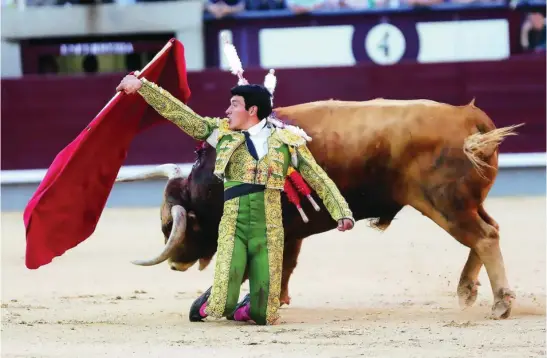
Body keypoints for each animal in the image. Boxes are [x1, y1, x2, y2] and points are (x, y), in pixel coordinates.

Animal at [119, 97, 524, 318]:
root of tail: (467, 118)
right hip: (462, 203)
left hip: (443, 204)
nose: (175, 263)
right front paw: (278, 298)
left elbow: (272, 263)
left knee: (484, 237)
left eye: (170, 227)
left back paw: (501, 303)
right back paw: (468, 290)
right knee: (492, 229)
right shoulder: (292, 230)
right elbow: (286, 263)